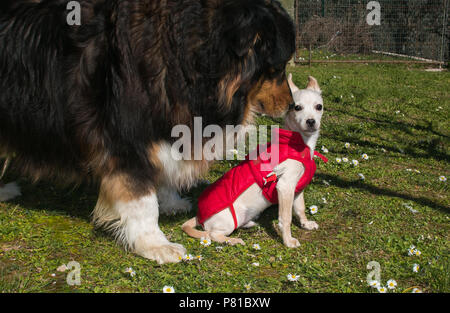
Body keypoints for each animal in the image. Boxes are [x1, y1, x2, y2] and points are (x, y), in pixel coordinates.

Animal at [0, 0, 296, 264]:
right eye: (278, 68)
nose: (291, 105)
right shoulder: (126, 141)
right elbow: (141, 199)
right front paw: (155, 243)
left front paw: (170, 201)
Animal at [181, 74, 326, 247]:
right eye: (297, 108)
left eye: (319, 107)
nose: (311, 121)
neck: (299, 143)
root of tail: (199, 216)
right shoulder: (285, 187)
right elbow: (286, 218)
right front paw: (288, 241)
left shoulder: (297, 189)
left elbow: (300, 209)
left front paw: (305, 224)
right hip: (229, 221)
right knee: (212, 235)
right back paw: (232, 240)